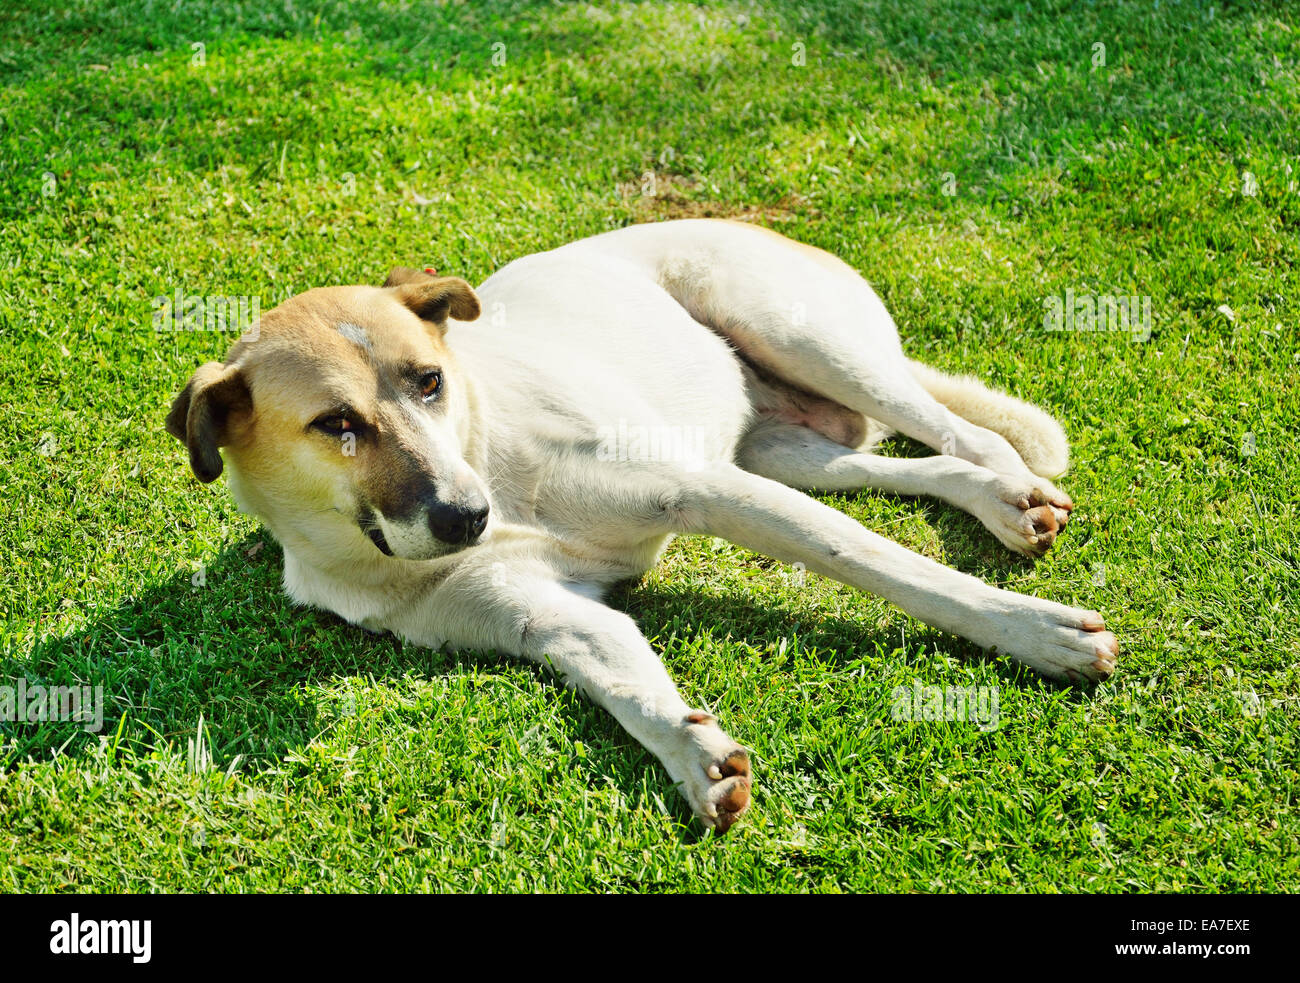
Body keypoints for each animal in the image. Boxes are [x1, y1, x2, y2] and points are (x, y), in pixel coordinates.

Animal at [162, 218, 1118, 832]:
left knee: (966, 431)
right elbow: (621, 677)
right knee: (911, 462)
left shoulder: (701, 490)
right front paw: (694, 753)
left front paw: (1036, 632)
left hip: (805, 346)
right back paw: (998, 499)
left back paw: (1013, 492)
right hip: (786, 451)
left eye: (429, 380)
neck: (489, 453)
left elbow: (879, 560)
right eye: (337, 425)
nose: (467, 517)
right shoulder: (546, 618)